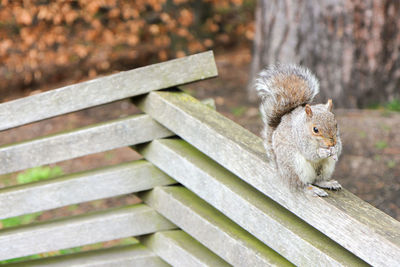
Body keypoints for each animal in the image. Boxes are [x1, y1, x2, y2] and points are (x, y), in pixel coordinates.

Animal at [255, 64, 342, 197]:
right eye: (315, 129)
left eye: (336, 124)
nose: (332, 143)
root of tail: (281, 171)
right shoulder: (300, 139)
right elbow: (310, 153)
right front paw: (322, 152)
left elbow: (340, 146)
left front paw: (335, 150)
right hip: (295, 166)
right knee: (300, 184)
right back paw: (311, 189)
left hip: (325, 169)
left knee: (317, 180)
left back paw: (327, 183)